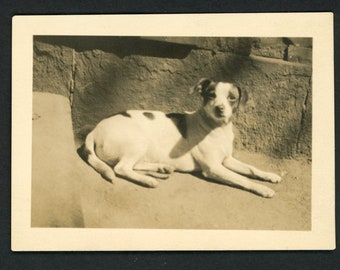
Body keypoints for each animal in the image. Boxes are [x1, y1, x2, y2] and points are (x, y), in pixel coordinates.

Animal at [80, 78, 282, 198]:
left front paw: (270, 175)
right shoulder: (214, 168)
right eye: (211, 95)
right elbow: (242, 179)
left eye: (231, 98)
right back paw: (147, 180)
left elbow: (252, 169)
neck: (217, 129)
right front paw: (262, 189)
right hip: (138, 141)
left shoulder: (226, 160)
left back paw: (161, 168)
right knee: (121, 168)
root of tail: (95, 130)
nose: (219, 108)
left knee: (132, 165)